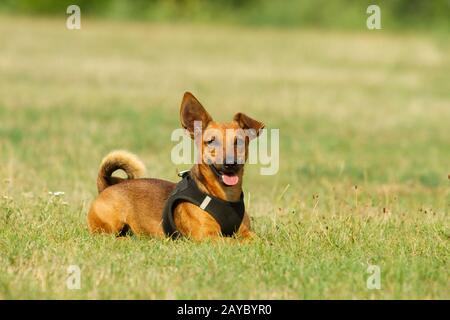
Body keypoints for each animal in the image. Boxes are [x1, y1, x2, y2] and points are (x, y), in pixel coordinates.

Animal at [86, 92, 266, 240]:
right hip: (110, 225)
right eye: (211, 141)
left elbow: (259, 241)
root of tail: (105, 187)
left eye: (239, 142)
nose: (230, 163)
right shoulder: (208, 237)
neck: (225, 197)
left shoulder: (246, 233)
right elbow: (235, 242)